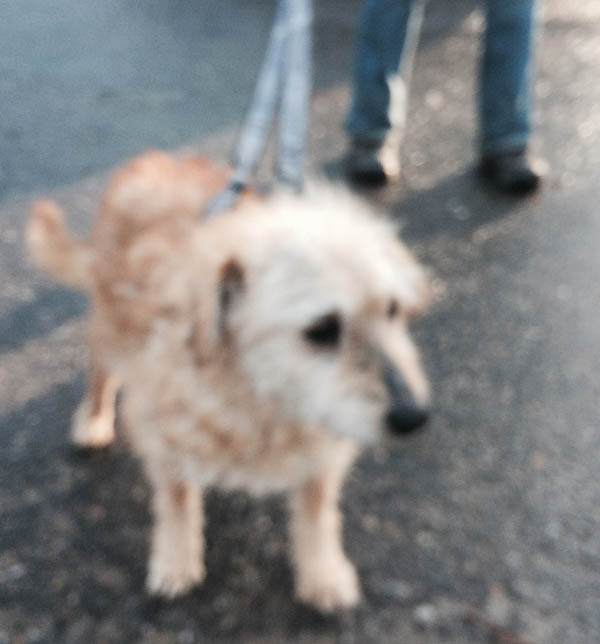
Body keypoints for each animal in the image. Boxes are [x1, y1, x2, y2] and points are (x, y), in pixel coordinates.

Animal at [27, 151, 431, 613]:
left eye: (393, 310)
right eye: (322, 329)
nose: (414, 416)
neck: (260, 392)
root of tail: (149, 161)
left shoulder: (323, 445)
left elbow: (317, 510)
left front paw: (323, 572)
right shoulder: (164, 435)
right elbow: (177, 504)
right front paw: (175, 560)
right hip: (109, 327)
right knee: (100, 371)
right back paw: (93, 419)